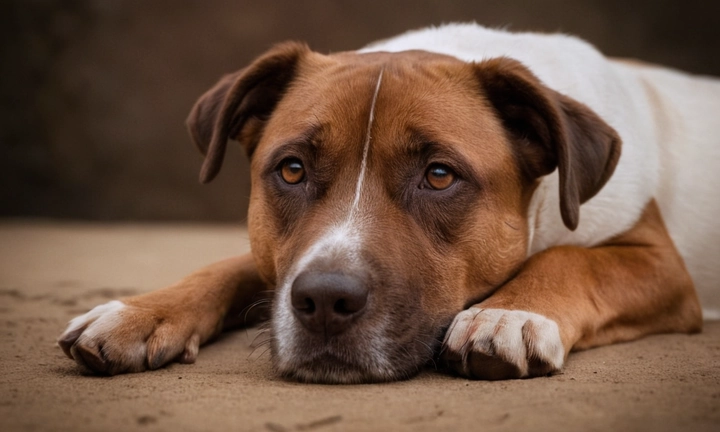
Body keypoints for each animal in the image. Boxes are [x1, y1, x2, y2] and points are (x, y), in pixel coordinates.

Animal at [57, 23, 720, 382]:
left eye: (439, 176)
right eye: (292, 170)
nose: (325, 300)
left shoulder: (658, 263)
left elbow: (573, 261)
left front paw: (511, 313)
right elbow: (228, 265)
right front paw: (140, 312)